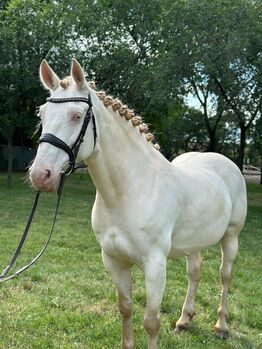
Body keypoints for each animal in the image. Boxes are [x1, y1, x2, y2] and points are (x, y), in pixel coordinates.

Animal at [29, 59, 247, 348]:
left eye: (76, 116)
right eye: (42, 115)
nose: (40, 175)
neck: (128, 192)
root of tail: (227, 163)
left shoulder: (155, 265)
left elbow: (151, 322)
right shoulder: (114, 260)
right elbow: (125, 309)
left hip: (231, 238)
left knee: (225, 276)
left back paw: (221, 327)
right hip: (194, 243)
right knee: (195, 272)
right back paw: (184, 320)